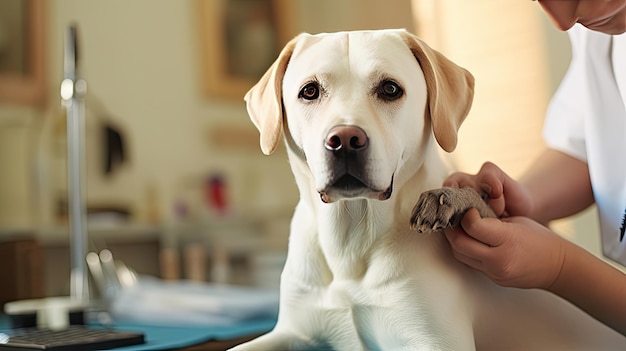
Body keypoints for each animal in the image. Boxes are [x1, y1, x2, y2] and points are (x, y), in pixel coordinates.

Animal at [230, 30, 624, 351]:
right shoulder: (293, 331)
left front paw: (445, 201)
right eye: (309, 91)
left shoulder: (432, 340)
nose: (344, 140)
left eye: (390, 89)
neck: (351, 241)